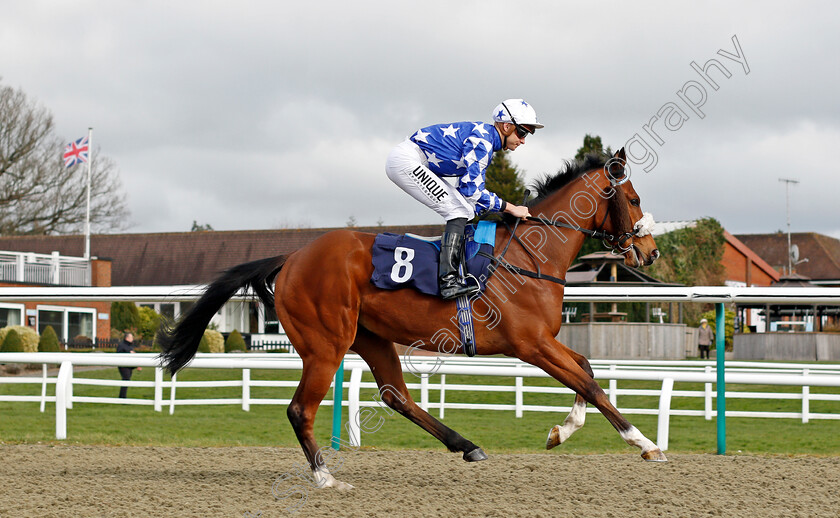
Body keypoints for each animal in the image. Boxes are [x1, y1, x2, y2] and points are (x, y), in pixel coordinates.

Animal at [158, 147, 668, 492]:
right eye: (635, 199)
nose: (650, 252)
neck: (529, 256)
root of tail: (292, 257)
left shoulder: (542, 341)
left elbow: (586, 369)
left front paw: (561, 430)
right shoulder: (530, 344)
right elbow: (590, 383)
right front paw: (644, 442)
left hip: (370, 337)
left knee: (396, 396)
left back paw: (466, 445)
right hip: (326, 344)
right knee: (301, 409)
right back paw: (325, 478)